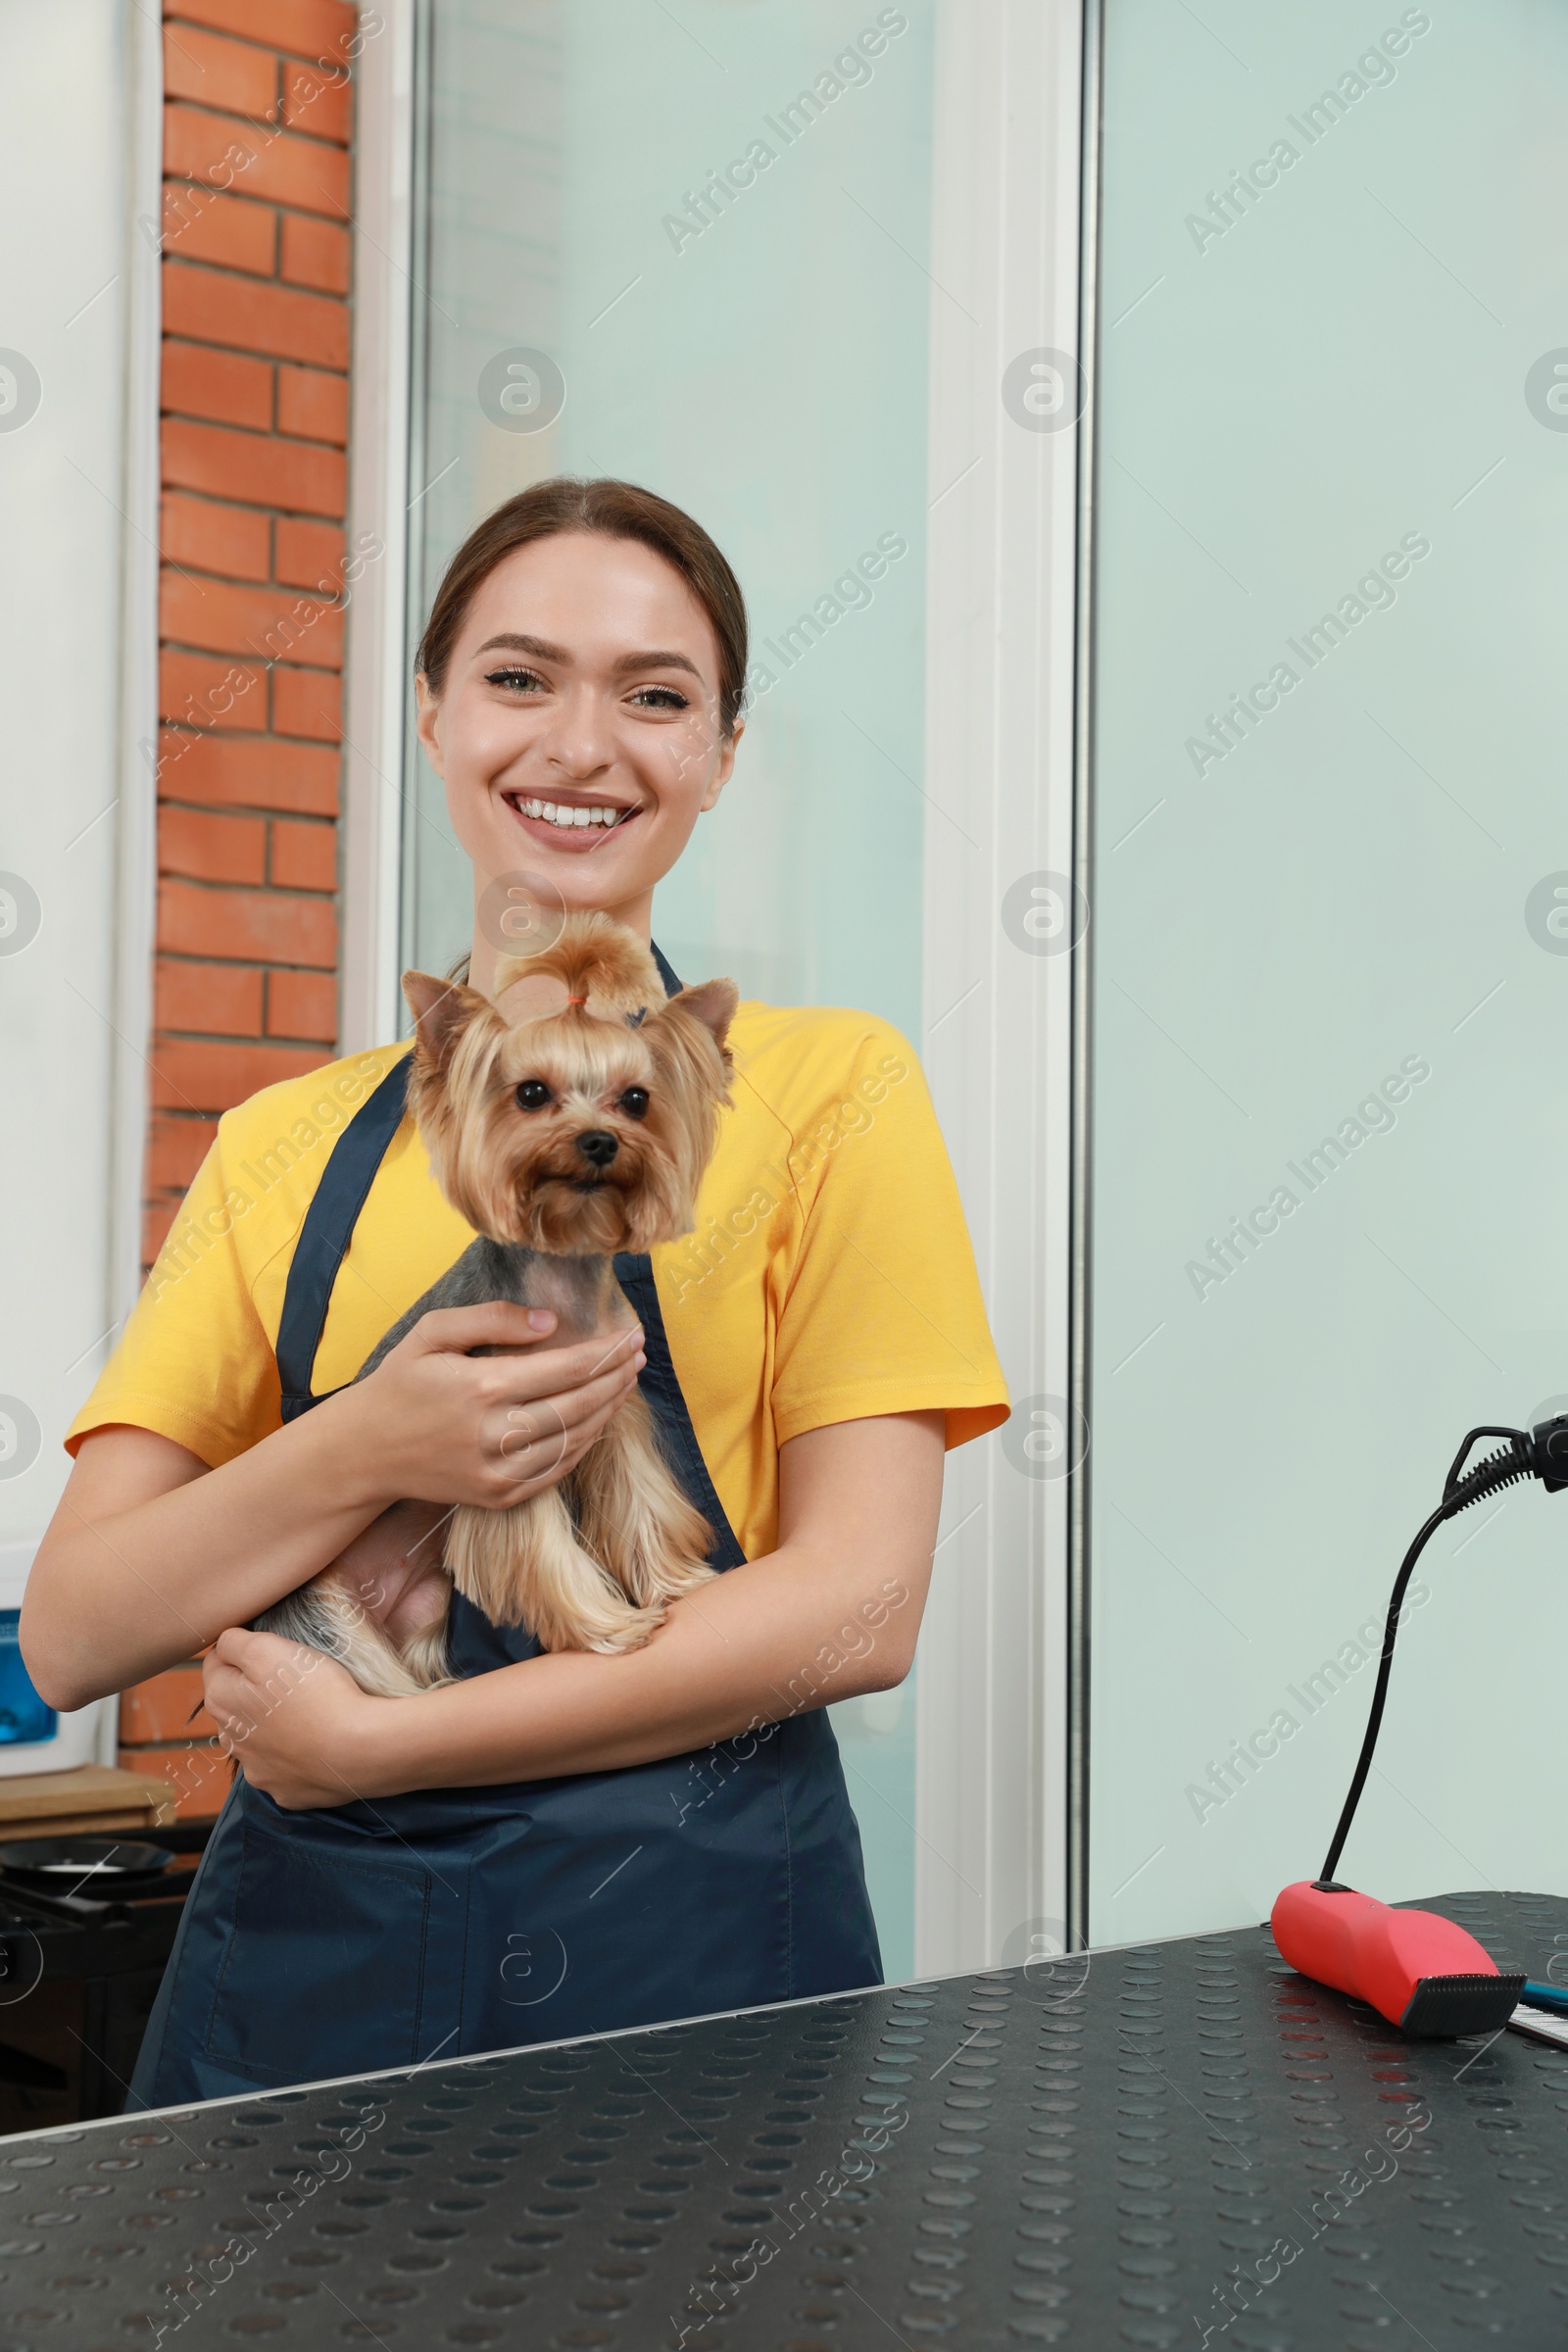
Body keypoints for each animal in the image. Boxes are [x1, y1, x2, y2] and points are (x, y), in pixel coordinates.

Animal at [258, 907, 743, 1702]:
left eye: (637, 1099)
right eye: (532, 1094)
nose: (599, 1140)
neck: (564, 1275)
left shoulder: (613, 1420)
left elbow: (640, 1504)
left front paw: (678, 1585)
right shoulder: (508, 1448)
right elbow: (545, 1551)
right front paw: (610, 1628)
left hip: (424, 1609)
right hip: (322, 1621)